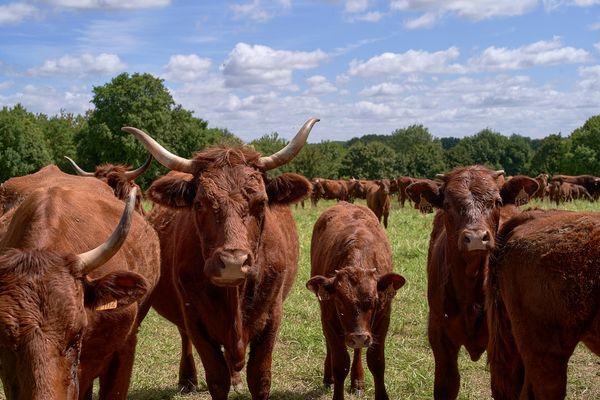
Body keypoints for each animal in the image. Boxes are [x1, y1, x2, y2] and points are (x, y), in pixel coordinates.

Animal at [122, 117, 318, 398]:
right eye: (199, 204)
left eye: (261, 202)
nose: (233, 263)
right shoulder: (195, 319)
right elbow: (216, 377)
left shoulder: (272, 317)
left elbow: (260, 378)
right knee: (185, 337)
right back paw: (187, 379)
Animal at [308, 203, 406, 400]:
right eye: (339, 302)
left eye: (375, 300)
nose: (359, 337)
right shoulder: (329, 319)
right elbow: (340, 364)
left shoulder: (382, 319)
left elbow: (376, 362)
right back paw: (329, 378)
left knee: (359, 350)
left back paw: (357, 381)